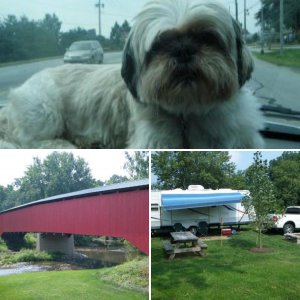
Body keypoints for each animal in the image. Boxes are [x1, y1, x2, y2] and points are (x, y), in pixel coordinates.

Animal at [0, 0, 262, 148]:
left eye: (207, 37)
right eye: (158, 45)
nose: (183, 49)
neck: (188, 113)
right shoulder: (152, 140)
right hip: (43, 109)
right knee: (32, 139)